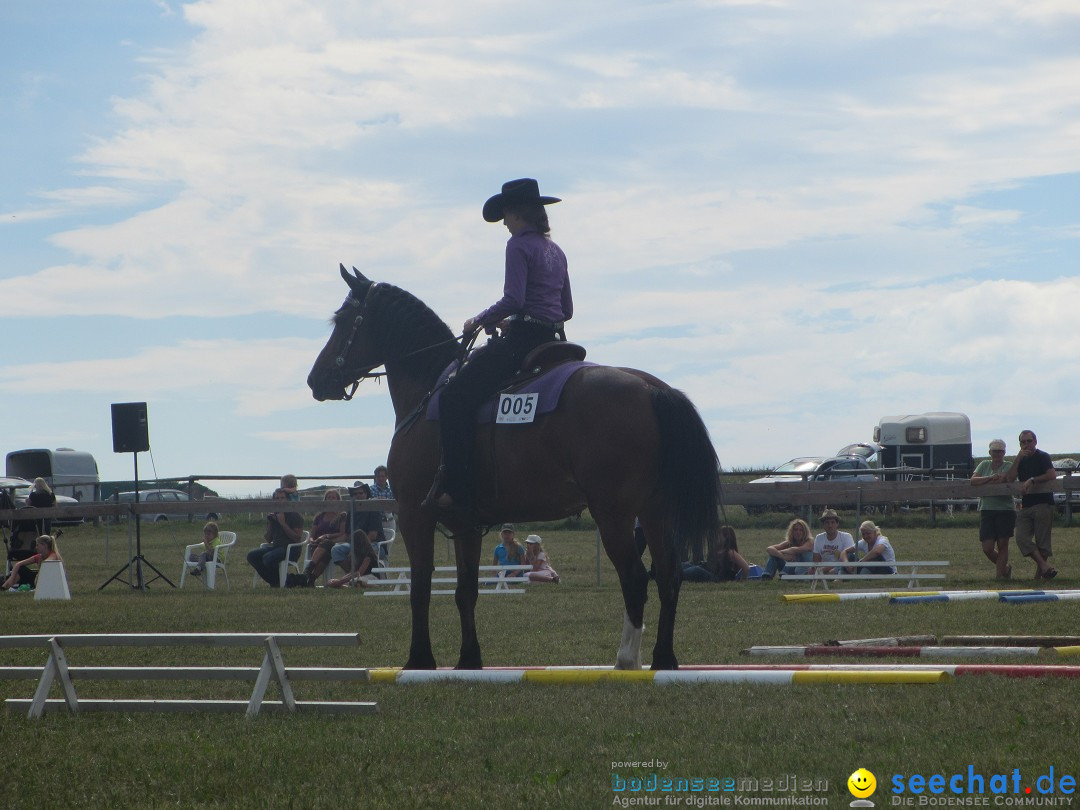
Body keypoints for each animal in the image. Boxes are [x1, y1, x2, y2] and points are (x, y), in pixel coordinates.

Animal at [308, 266, 721, 673]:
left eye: (341, 321)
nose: (315, 380)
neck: (428, 390)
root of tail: (653, 389)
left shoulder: (413, 514)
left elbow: (421, 588)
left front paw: (419, 660)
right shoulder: (466, 525)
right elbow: (465, 591)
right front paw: (468, 659)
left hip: (615, 515)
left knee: (635, 579)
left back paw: (626, 660)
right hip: (656, 512)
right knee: (668, 575)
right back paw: (663, 659)